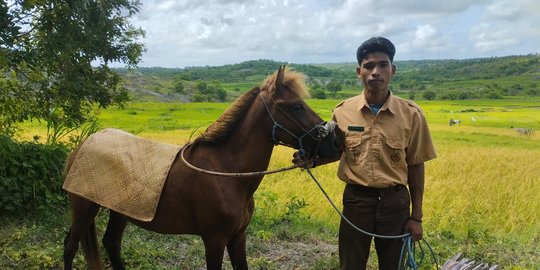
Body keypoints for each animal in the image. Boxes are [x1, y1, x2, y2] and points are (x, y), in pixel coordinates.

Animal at [62, 66, 342, 270]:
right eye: (296, 105)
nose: (335, 142)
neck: (227, 172)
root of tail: (82, 145)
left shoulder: (238, 237)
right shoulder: (214, 239)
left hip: (122, 210)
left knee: (111, 243)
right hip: (84, 208)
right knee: (70, 247)